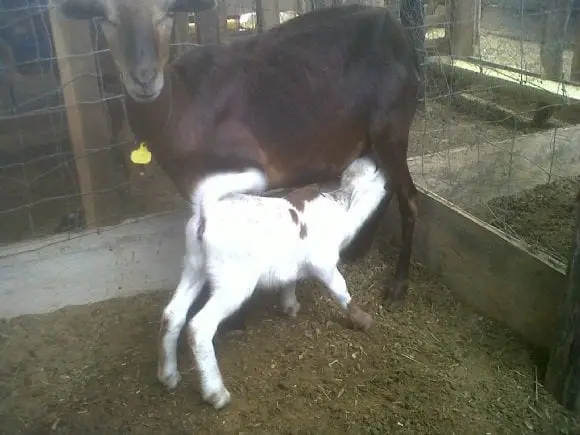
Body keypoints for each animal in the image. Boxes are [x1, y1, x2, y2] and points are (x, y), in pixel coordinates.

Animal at [56, 0, 420, 304]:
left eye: (167, 13)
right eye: (105, 17)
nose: (144, 79)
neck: (181, 106)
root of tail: (398, 32)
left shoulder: (240, 169)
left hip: (392, 123)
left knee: (409, 197)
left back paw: (398, 285)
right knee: (387, 184)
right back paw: (360, 249)